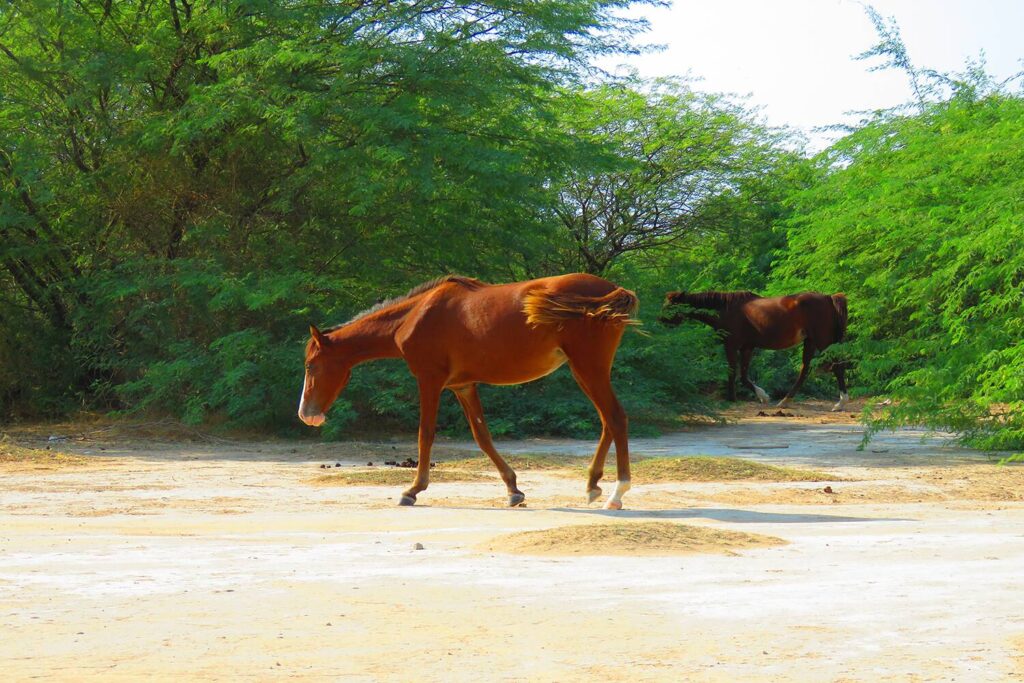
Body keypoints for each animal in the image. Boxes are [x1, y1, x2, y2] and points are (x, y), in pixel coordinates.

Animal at [296, 274, 634, 509]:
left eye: (311, 365)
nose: (306, 415)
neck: (415, 315)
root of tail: (614, 290)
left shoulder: (429, 380)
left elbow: (425, 434)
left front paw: (413, 490)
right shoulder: (463, 386)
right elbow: (482, 437)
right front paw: (513, 490)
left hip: (588, 368)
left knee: (616, 418)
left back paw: (617, 492)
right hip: (584, 371)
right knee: (607, 421)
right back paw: (592, 485)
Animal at [663, 290, 847, 409]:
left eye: (670, 306)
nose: (661, 320)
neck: (725, 309)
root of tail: (828, 298)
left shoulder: (731, 345)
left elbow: (732, 372)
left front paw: (733, 398)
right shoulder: (747, 348)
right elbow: (743, 376)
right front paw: (762, 396)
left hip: (823, 343)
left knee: (837, 367)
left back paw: (840, 402)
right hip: (810, 342)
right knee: (805, 371)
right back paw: (785, 401)